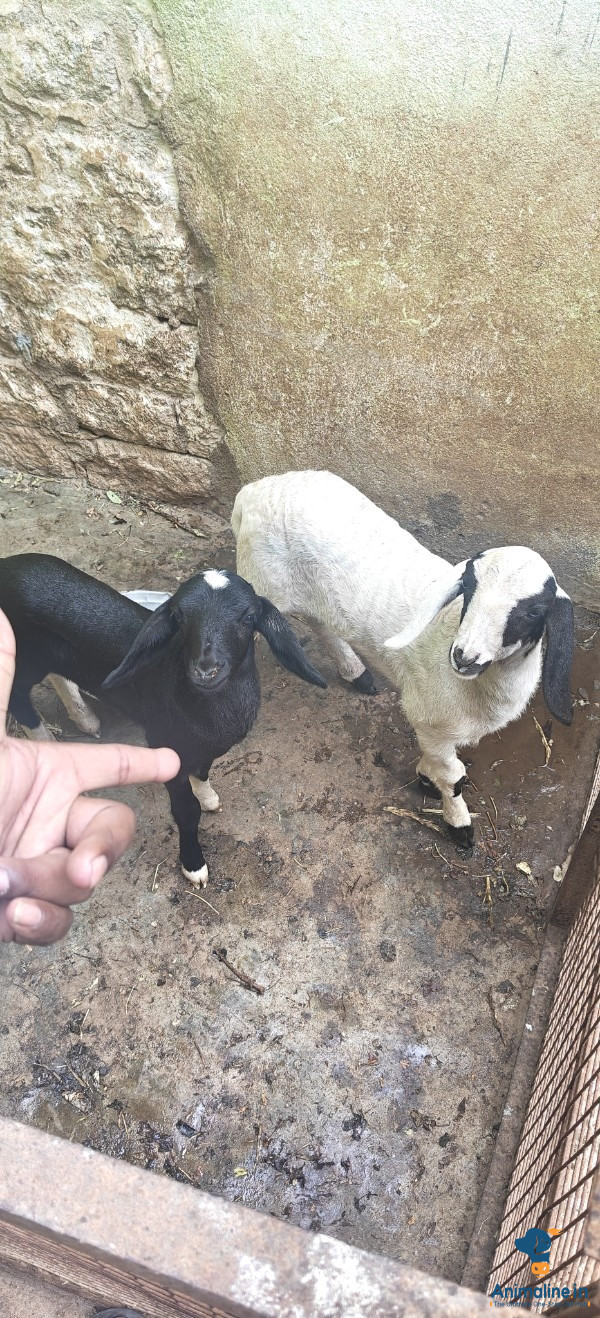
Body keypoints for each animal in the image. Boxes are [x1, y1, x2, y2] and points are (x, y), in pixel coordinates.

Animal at [0, 553, 326, 885]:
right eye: (180, 618)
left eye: (248, 617)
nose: (205, 670)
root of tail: (7, 564)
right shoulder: (166, 744)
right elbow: (186, 811)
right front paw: (194, 866)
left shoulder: (206, 747)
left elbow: (203, 772)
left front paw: (208, 797)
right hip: (24, 655)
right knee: (18, 697)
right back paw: (46, 743)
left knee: (58, 676)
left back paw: (85, 719)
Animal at [232, 470, 574, 850]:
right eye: (469, 588)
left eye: (534, 611)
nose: (463, 656)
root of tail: (254, 490)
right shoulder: (429, 714)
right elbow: (454, 778)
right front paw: (459, 826)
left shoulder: (433, 727)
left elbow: (437, 763)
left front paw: (425, 776)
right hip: (260, 580)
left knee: (319, 622)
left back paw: (356, 673)